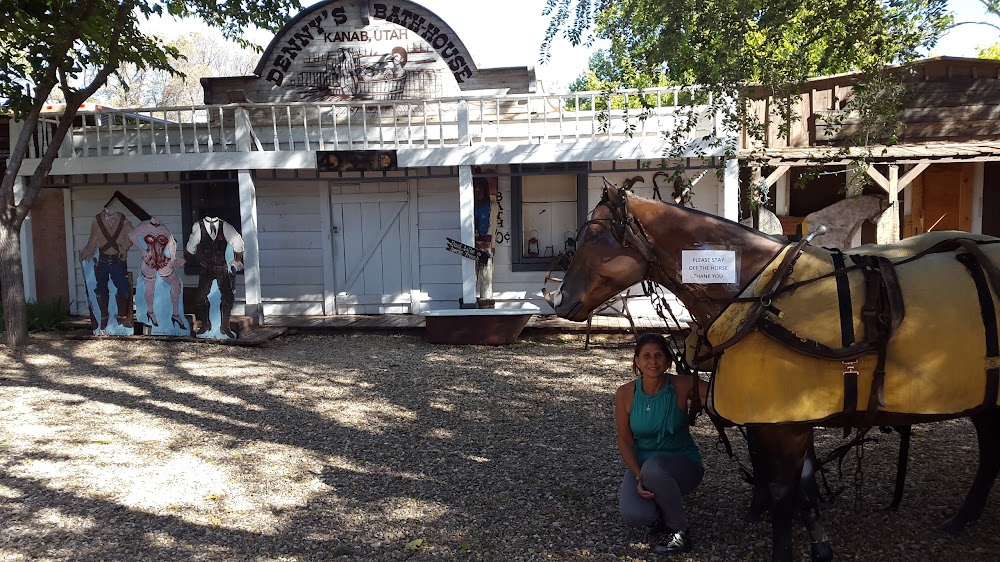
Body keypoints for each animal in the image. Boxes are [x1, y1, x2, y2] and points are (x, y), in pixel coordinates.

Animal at [548, 182, 1000, 556]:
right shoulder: (787, 419)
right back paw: (962, 519)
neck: (761, 295)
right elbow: (802, 485)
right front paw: (818, 543)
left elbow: (786, 490)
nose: (561, 299)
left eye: (593, 235)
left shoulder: (787, 420)